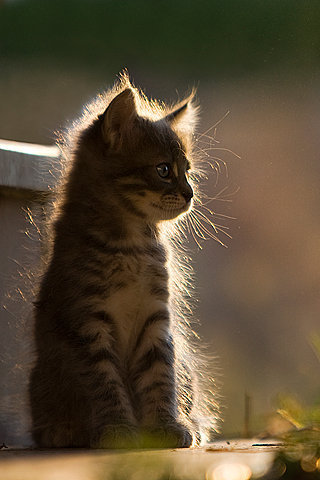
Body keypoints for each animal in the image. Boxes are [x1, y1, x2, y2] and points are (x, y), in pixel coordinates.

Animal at [28, 73, 219, 448]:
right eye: (163, 169)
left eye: (188, 171)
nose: (191, 193)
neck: (132, 246)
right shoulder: (88, 321)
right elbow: (105, 382)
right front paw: (117, 430)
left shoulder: (156, 317)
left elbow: (160, 376)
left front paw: (165, 427)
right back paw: (61, 431)